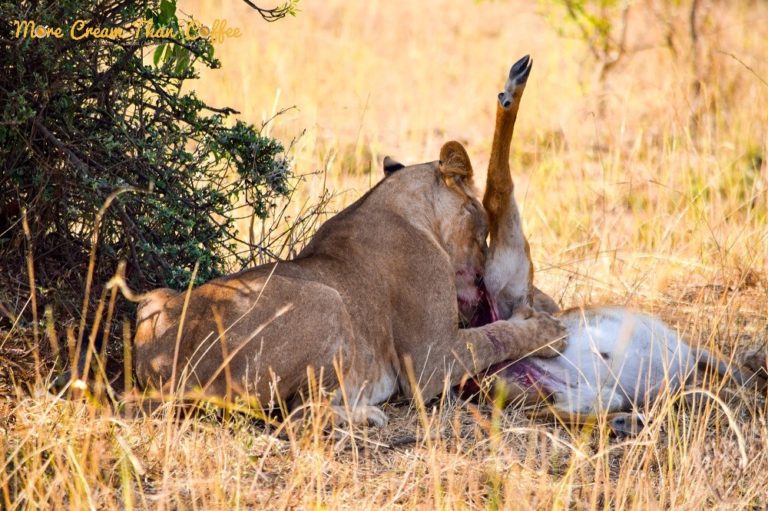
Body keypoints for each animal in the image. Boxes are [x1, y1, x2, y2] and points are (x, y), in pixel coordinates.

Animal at [108, 140, 566, 427]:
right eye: (484, 226)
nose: (486, 267)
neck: (399, 202)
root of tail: (165, 371)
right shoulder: (429, 363)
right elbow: (494, 336)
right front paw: (549, 332)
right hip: (326, 298)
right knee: (299, 416)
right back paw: (366, 416)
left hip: (154, 301)